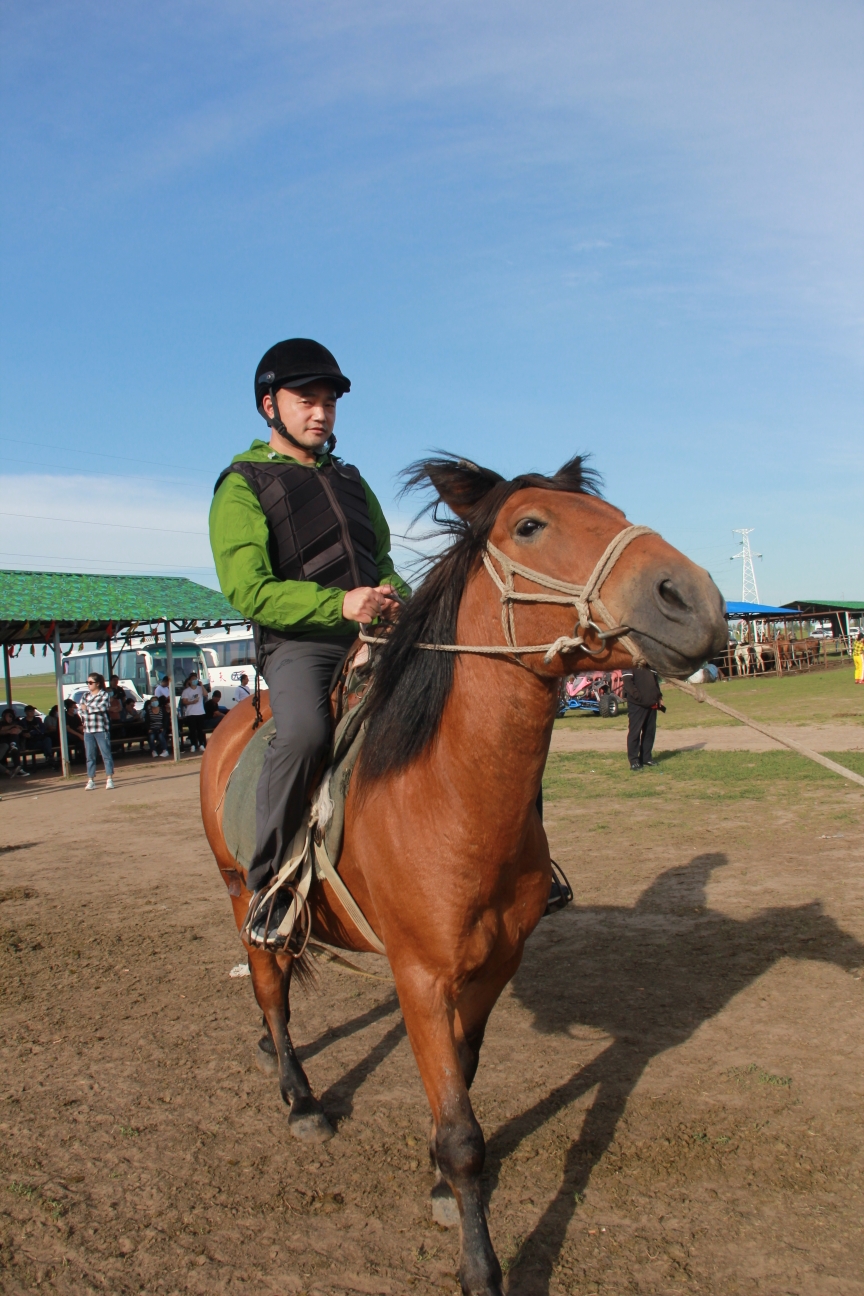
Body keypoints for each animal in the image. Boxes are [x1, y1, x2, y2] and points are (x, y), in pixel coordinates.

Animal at [199, 451, 725, 1290]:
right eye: (531, 525)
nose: (695, 599)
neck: (449, 793)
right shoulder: (420, 976)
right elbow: (463, 1134)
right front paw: (480, 1262)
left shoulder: (494, 967)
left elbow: (465, 1085)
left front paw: (441, 1186)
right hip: (238, 892)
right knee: (271, 991)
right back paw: (299, 1097)